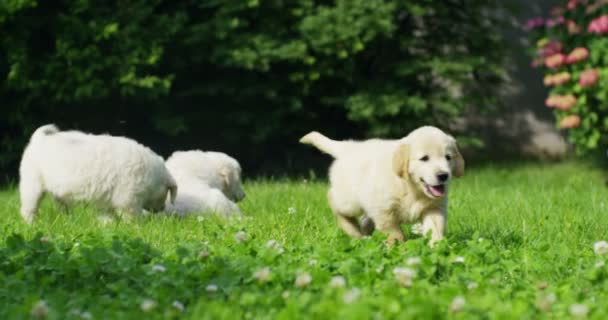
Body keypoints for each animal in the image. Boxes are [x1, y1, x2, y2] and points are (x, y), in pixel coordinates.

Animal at [17, 124, 178, 224]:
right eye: (166, 193)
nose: (161, 209)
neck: (151, 175)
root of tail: (39, 139)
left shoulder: (105, 198)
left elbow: (105, 214)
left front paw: (108, 225)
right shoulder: (128, 198)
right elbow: (131, 215)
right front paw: (136, 226)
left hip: (58, 191)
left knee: (62, 207)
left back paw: (67, 220)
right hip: (32, 185)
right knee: (29, 208)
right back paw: (31, 223)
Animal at [300, 126, 466, 246]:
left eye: (448, 157)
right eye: (424, 158)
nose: (443, 175)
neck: (411, 188)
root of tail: (349, 147)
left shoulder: (434, 208)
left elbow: (435, 229)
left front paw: (438, 247)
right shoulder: (383, 209)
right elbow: (394, 232)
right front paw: (398, 246)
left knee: (365, 219)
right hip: (349, 201)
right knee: (334, 202)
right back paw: (353, 231)